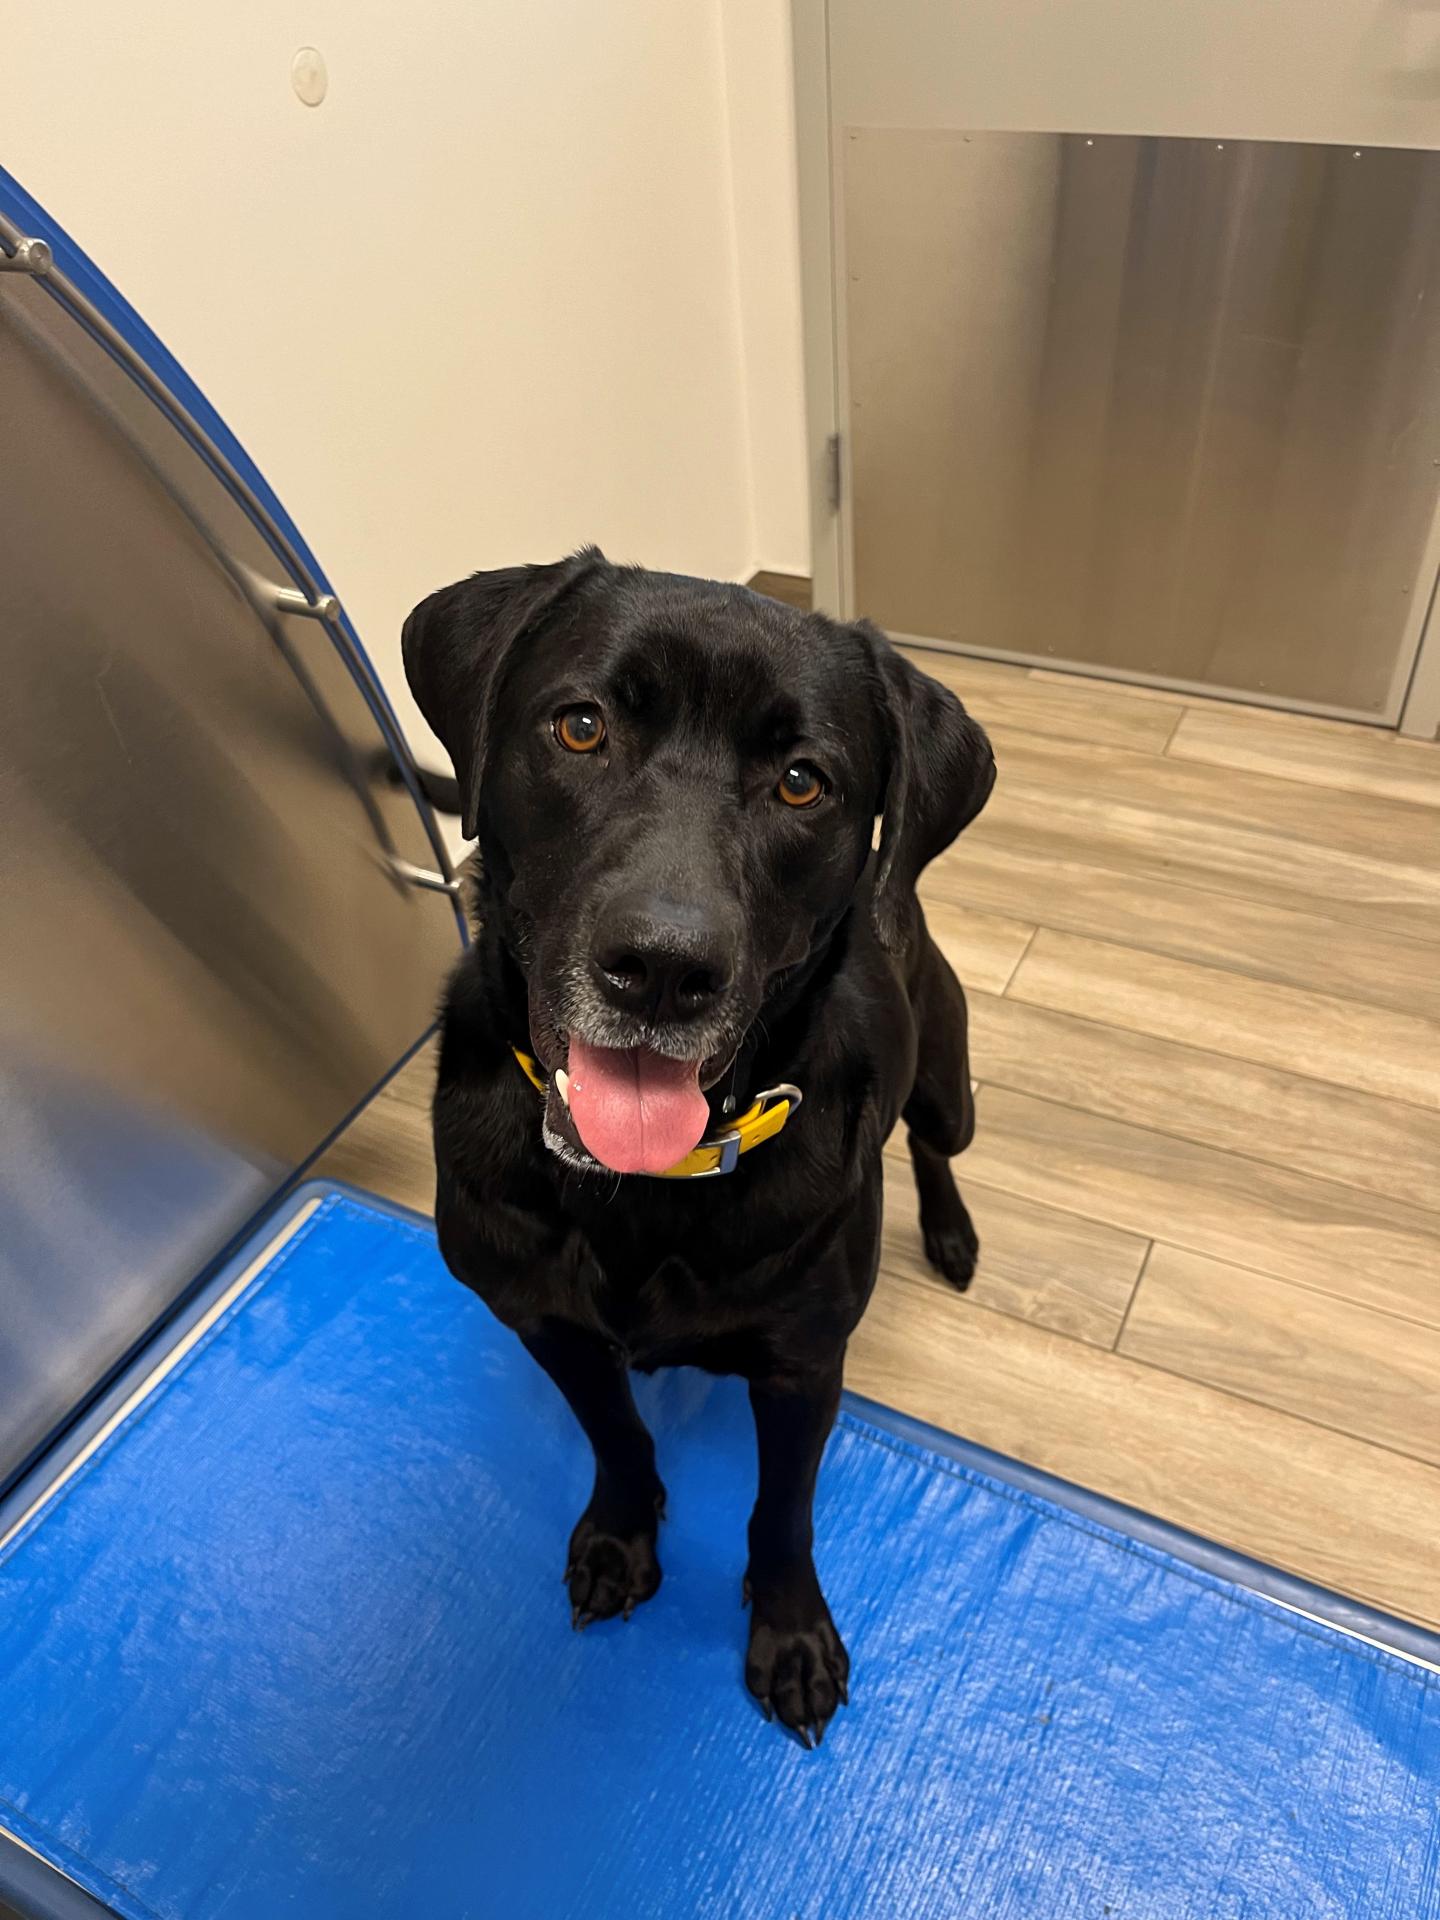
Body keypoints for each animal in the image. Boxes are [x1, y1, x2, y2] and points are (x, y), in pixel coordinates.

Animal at [403, 549, 990, 1751]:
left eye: (804, 783)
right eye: (580, 727)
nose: (663, 968)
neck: (643, 1187)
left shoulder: (804, 1363)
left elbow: (784, 1510)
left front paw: (791, 1635)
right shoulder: (546, 1322)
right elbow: (617, 1437)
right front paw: (621, 1537)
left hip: (947, 1085)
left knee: (936, 1145)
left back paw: (952, 1233)